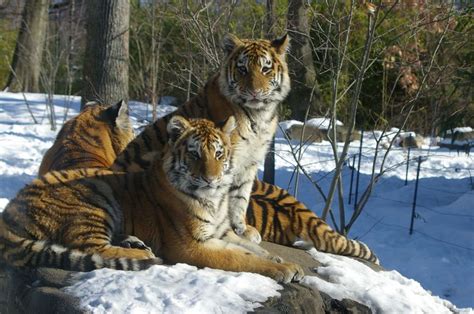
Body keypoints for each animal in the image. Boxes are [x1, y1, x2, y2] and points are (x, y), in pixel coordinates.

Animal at [0, 116, 304, 284]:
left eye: (219, 154)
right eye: (194, 154)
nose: (212, 179)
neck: (215, 200)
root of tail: (9, 211)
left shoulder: (222, 232)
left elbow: (254, 249)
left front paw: (283, 261)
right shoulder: (192, 245)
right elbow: (241, 258)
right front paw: (284, 268)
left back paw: (133, 241)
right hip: (94, 198)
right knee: (93, 249)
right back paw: (141, 253)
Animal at [113, 32, 294, 243]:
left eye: (266, 69)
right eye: (242, 69)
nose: (254, 92)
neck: (259, 115)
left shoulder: (249, 162)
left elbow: (240, 197)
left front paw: (241, 229)